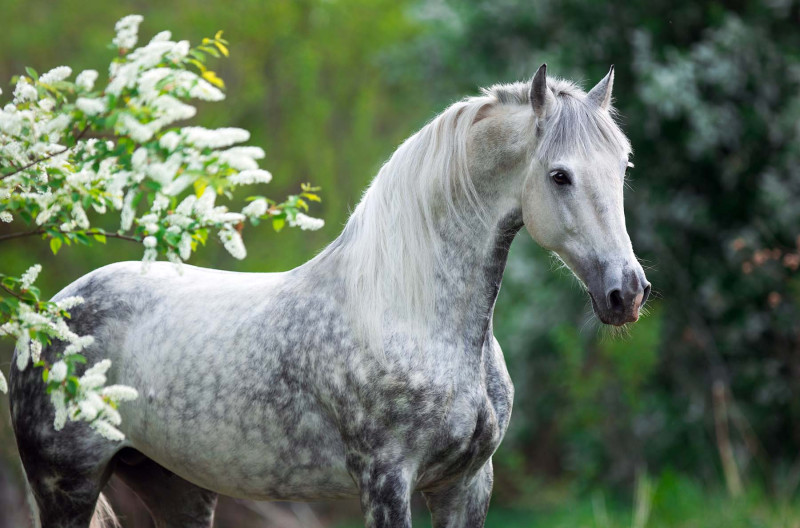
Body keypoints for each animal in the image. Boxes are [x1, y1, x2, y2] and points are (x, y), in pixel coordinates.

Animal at [9, 64, 649, 528]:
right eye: (559, 175)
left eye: (623, 165)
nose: (627, 292)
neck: (413, 316)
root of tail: (46, 319)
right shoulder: (386, 482)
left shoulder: (466, 486)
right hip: (66, 488)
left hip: (177, 488)